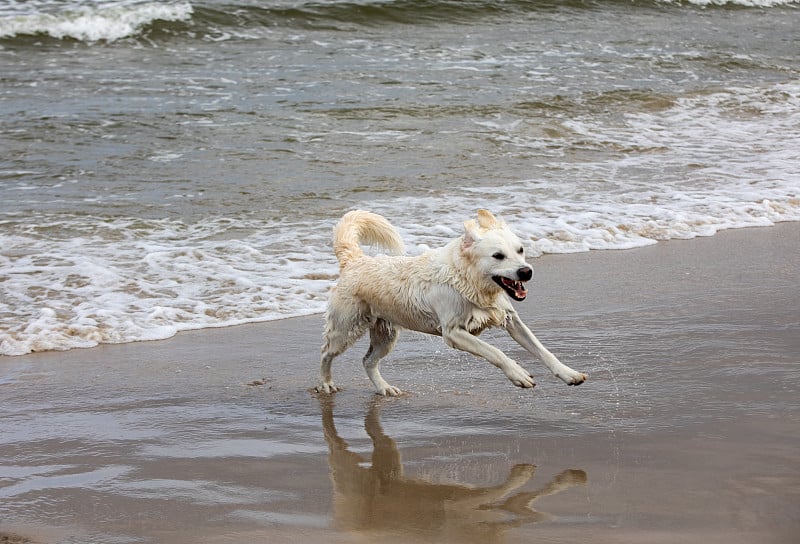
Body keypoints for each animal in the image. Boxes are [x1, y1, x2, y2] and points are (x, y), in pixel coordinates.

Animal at [316, 209, 584, 396]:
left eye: (520, 250)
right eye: (498, 256)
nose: (526, 271)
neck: (469, 281)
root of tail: (354, 261)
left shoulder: (510, 319)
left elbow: (542, 350)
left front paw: (569, 374)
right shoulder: (454, 332)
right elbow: (495, 351)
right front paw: (519, 374)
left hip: (386, 334)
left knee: (368, 361)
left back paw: (385, 388)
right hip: (346, 327)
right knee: (326, 352)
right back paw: (326, 384)